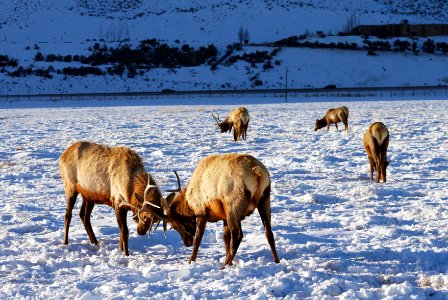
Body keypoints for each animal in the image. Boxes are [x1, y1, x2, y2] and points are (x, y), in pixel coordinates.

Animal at [58, 141, 192, 255]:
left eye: (155, 221)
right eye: (144, 216)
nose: (140, 232)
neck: (131, 191)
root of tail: (61, 156)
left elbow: (121, 232)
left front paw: (121, 249)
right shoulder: (118, 203)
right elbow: (124, 231)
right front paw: (126, 253)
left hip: (89, 195)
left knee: (84, 216)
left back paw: (94, 242)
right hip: (70, 186)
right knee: (68, 214)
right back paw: (65, 242)